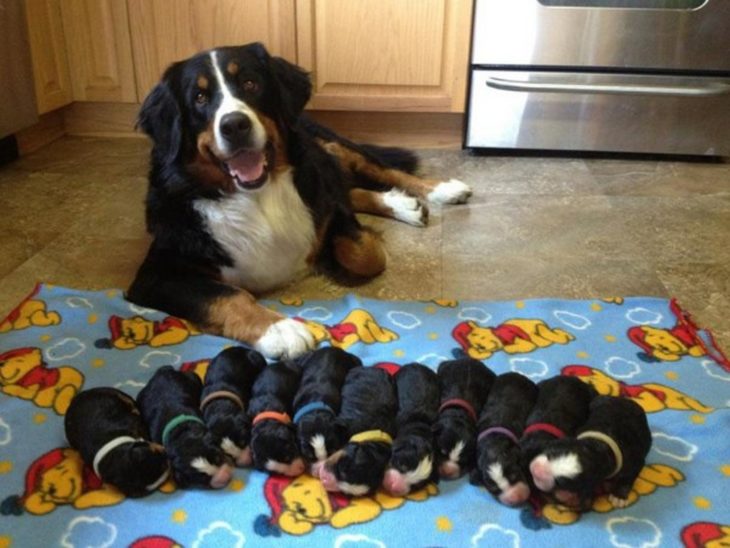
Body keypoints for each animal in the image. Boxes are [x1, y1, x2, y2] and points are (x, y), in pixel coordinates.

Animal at [126, 41, 472, 360]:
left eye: (250, 83)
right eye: (199, 98)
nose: (234, 124)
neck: (257, 197)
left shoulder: (325, 202)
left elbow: (362, 252)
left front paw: (344, 249)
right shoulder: (157, 274)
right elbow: (226, 295)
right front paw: (278, 329)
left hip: (327, 140)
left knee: (378, 169)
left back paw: (439, 190)